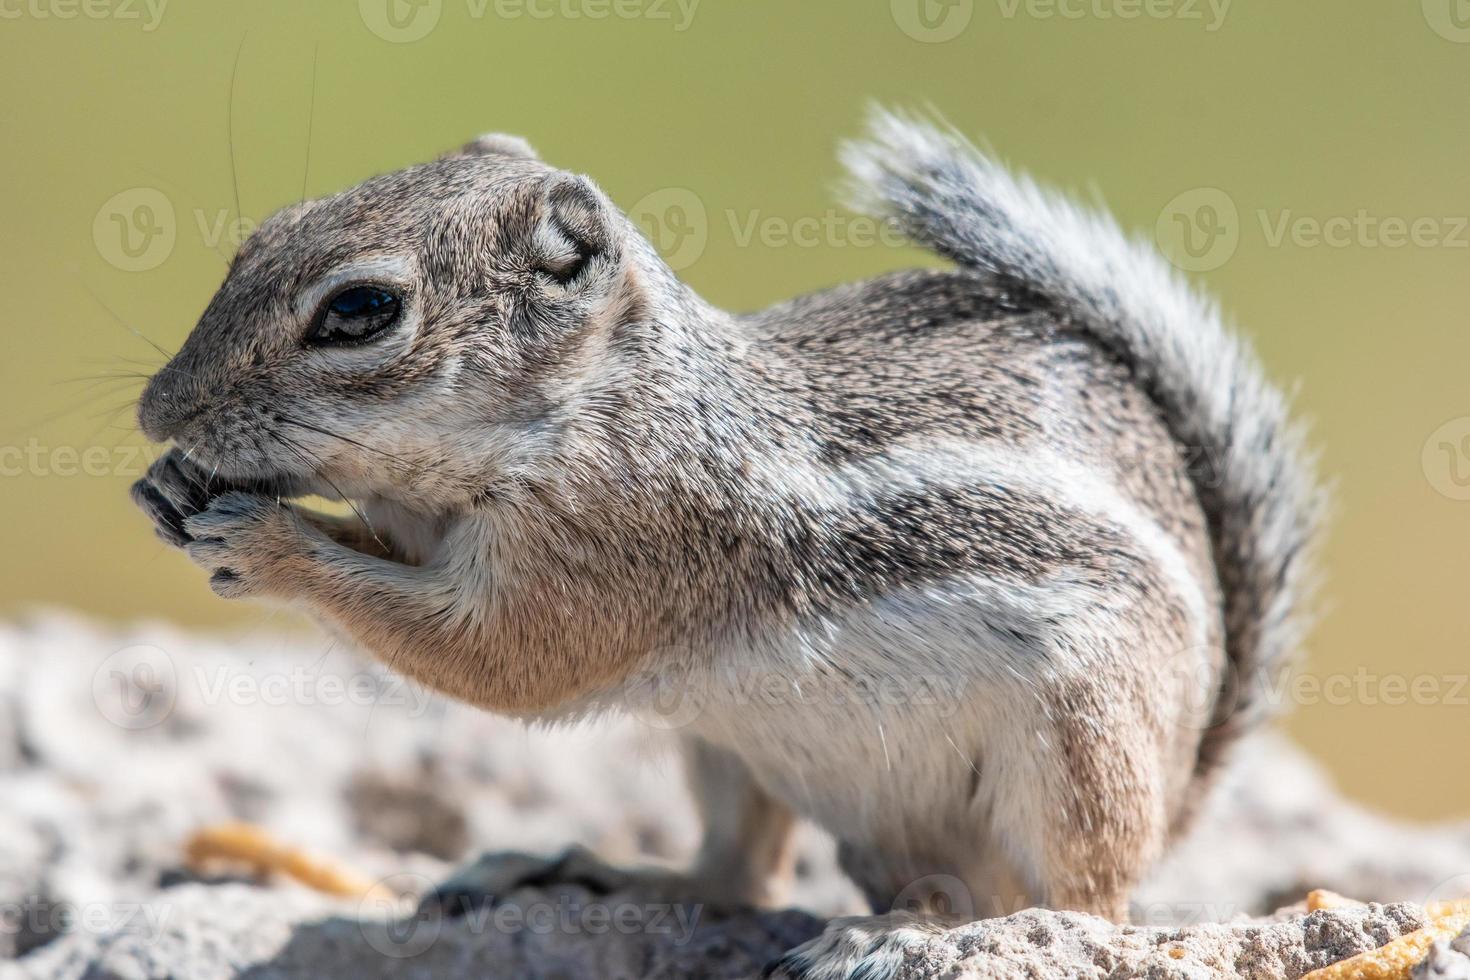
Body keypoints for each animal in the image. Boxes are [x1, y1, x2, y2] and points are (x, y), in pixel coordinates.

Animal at [129, 113, 1323, 975]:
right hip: (727, 747)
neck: (604, 400)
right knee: (739, 875)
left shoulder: (619, 543)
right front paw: (174, 489)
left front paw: (268, 543)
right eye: (264, 234)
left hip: (1074, 746)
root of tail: (1180, 786)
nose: (155, 411)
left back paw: (904, 935)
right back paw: (596, 874)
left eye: (361, 310)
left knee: (1070, 908)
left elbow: (503, 661)